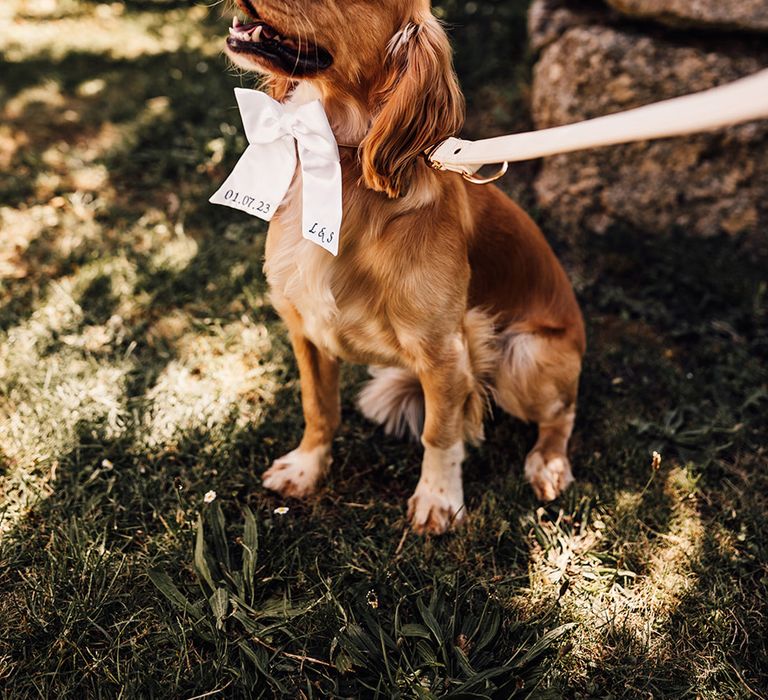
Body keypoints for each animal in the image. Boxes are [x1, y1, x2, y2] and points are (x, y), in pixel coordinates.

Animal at [225, 1, 584, 536]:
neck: (345, 166)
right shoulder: (304, 327)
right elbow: (318, 407)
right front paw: (307, 467)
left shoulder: (445, 350)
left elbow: (441, 432)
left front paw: (438, 499)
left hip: (524, 356)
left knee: (564, 411)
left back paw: (549, 462)